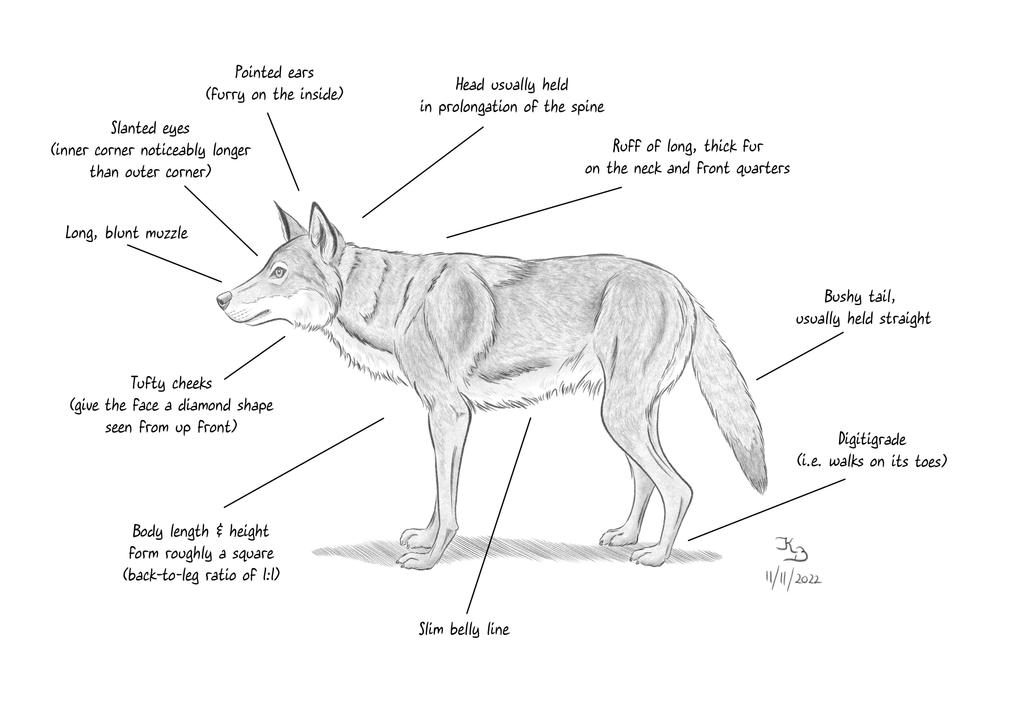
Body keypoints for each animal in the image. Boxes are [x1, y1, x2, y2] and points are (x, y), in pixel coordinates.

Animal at [217, 202, 766, 569]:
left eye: (278, 272)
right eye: (264, 267)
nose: (220, 299)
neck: (395, 300)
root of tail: (680, 286)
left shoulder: (449, 413)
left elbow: (449, 503)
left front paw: (431, 559)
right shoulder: (444, 417)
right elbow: (440, 496)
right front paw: (425, 539)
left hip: (621, 417)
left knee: (679, 487)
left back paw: (656, 555)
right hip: (626, 416)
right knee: (647, 479)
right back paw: (629, 537)